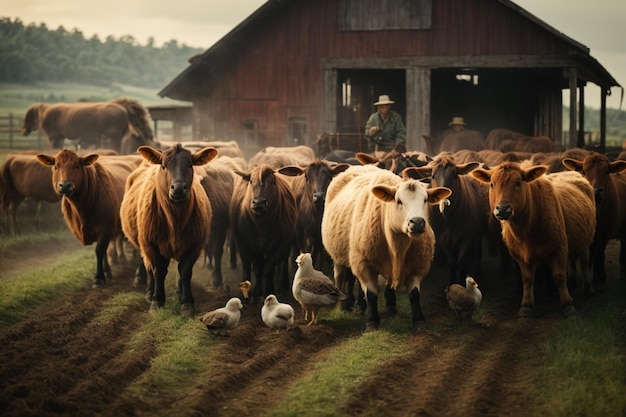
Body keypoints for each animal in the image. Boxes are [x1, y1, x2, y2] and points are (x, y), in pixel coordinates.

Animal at [21, 98, 153, 153]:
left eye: (28, 116)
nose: (23, 130)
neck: (44, 112)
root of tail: (122, 106)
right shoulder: (60, 137)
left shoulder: (54, 136)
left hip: (114, 135)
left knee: (116, 148)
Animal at [120, 145, 217, 314]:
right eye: (164, 166)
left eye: (190, 165)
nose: (178, 188)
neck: (175, 221)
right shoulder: (151, 244)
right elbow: (158, 271)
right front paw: (157, 301)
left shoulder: (194, 245)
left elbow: (185, 272)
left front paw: (187, 303)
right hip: (143, 243)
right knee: (148, 266)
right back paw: (149, 291)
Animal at [468, 162, 596, 316]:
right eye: (492, 184)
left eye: (518, 182)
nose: (503, 209)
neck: (526, 230)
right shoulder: (520, 256)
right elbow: (527, 279)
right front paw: (526, 305)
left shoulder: (558, 248)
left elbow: (559, 276)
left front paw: (567, 305)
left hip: (586, 240)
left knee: (584, 261)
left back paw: (588, 289)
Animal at [560, 151, 624, 284]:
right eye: (583, 171)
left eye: (606, 171)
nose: (596, 191)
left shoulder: (605, 233)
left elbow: (599, 254)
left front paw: (600, 277)